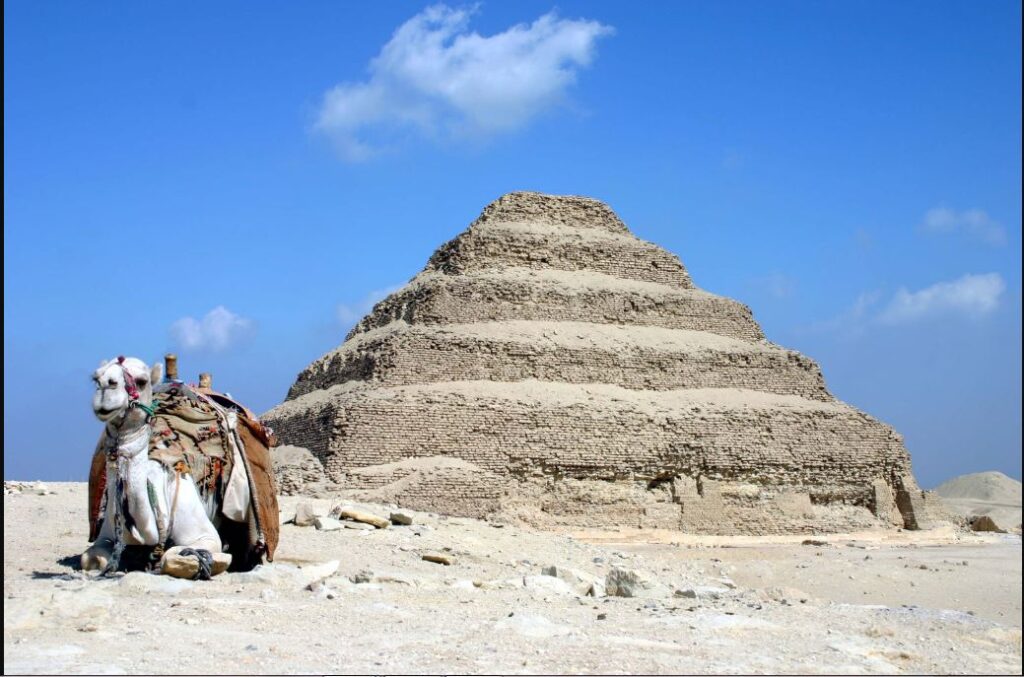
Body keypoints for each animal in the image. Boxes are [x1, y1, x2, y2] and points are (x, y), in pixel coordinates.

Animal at [81, 354, 276, 577]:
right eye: (96, 378)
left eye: (141, 381)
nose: (106, 386)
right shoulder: (106, 535)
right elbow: (89, 558)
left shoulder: (203, 534)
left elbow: (175, 556)